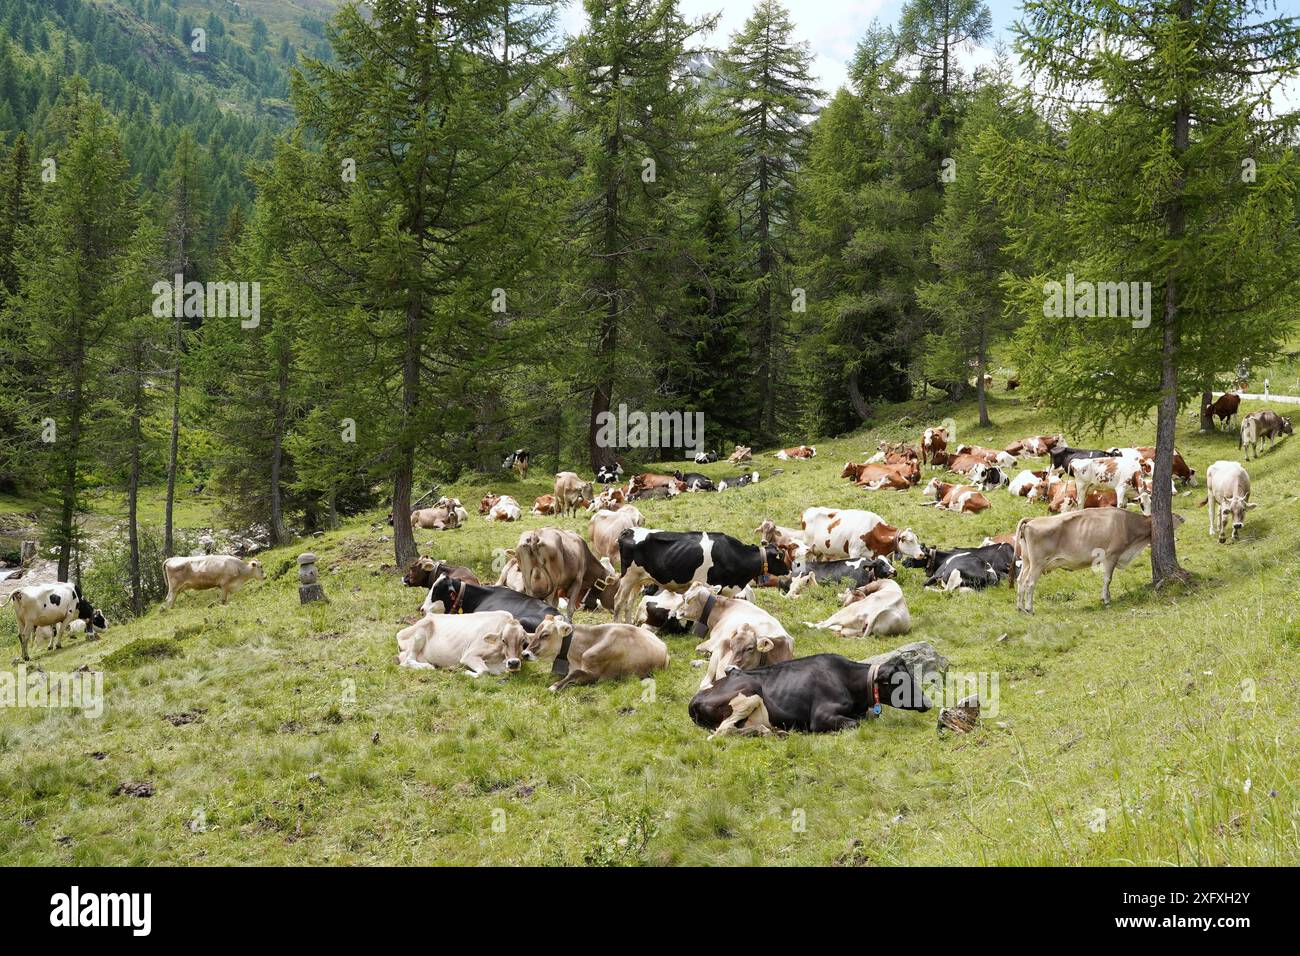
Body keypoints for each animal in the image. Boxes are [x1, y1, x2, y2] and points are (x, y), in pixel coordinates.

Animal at [395, 611, 527, 676]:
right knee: (407, 661)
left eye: (523, 641)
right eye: (503, 640)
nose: (513, 663)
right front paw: (465, 672)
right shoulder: (469, 655)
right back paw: (429, 666)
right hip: (420, 633)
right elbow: (484, 671)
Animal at [523, 614, 668, 691]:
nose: (525, 654)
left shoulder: (595, 675)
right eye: (536, 630)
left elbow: (574, 674)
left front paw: (554, 686)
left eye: (545, 635)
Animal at [611, 529, 795, 622]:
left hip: (638, 579)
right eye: (780, 556)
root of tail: (628, 531)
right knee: (618, 600)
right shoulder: (711, 585)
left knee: (629, 602)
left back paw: (629, 626)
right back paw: (617, 625)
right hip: (627, 577)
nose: (789, 573)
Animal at [688, 653, 931, 735]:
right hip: (750, 692)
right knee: (723, 731)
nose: (928, 703)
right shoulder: (821, 716)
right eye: (900, 682)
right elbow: (854, 724)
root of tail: (695, 698)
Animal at [1012, 508, 1182, 612]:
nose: (1182, 517)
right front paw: (1106, 600)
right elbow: (1107, 579)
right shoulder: (1112, 555)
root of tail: (1032, 520)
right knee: (1029, 583)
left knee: (1020, 580)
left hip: (1027, 561)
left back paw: (1020, 608)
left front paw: (1108, 597)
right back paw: (1029, 608)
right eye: (1172, 516)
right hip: (1038, 563)